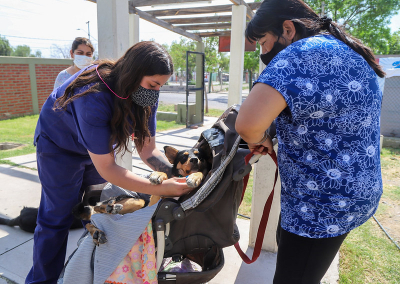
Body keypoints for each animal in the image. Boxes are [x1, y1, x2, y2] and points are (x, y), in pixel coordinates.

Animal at [71, 145, 211, 245]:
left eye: (200, 156)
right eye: (184, 157)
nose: (194, 159)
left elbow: (201, 173)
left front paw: (195, 177)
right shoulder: (152, 202)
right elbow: (164, 178)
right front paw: (158, 175)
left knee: (94, 217)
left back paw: (98, 230)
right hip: (137, 201)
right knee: (96, 209)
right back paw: (108, 212)